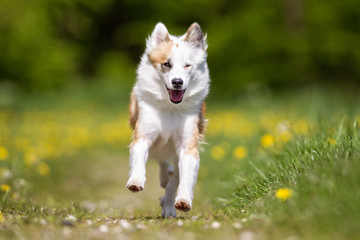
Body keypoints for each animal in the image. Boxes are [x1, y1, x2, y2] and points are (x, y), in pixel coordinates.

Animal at [127, 22, 210, 218]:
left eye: (188, 65)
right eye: (166, 64)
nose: (177, 82)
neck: (170, 107)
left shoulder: (187, 146)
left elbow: (183, 178)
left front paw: (182, 201)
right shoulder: (143, 135)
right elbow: (140, 157)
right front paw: (136, 181)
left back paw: (169, 205)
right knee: (161, 158)